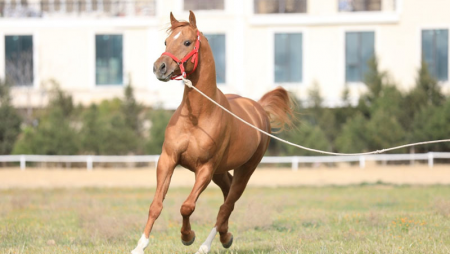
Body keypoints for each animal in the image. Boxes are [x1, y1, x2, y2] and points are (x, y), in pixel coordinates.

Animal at [132, 10, 294, 253]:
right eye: (166, 41)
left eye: (187, 42)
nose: (159, 67)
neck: (197, 116)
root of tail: (258, 108)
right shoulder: (168, 159)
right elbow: (156, 205)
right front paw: (140, 245)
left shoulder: (205, 169)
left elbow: (187, 206)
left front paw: (187, 236)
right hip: (221, 172)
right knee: (227, 197)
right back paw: (225, 236)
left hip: (245, 170)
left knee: (227, 205)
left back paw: (207, 245)